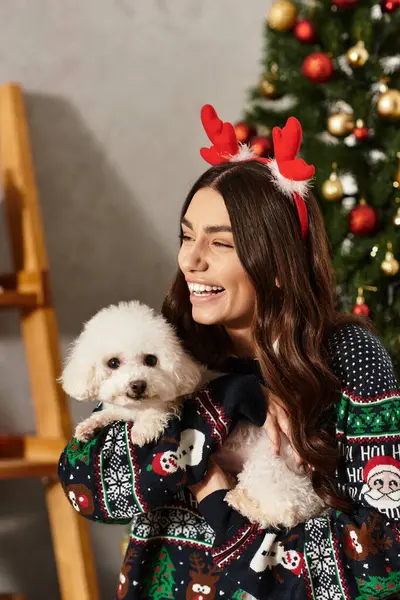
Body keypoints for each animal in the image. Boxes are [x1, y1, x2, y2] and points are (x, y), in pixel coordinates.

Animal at [61, 300, 324, 524]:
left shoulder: (177, 399)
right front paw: (89, 425)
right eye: (113, 363)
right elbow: (112, 412)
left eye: (151, 360)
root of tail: (310, 494)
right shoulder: (124, 409)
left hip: (266, 468)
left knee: (284, 512)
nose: (138, 385)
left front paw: (144, 428)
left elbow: (160, 408)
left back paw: (240, 501)